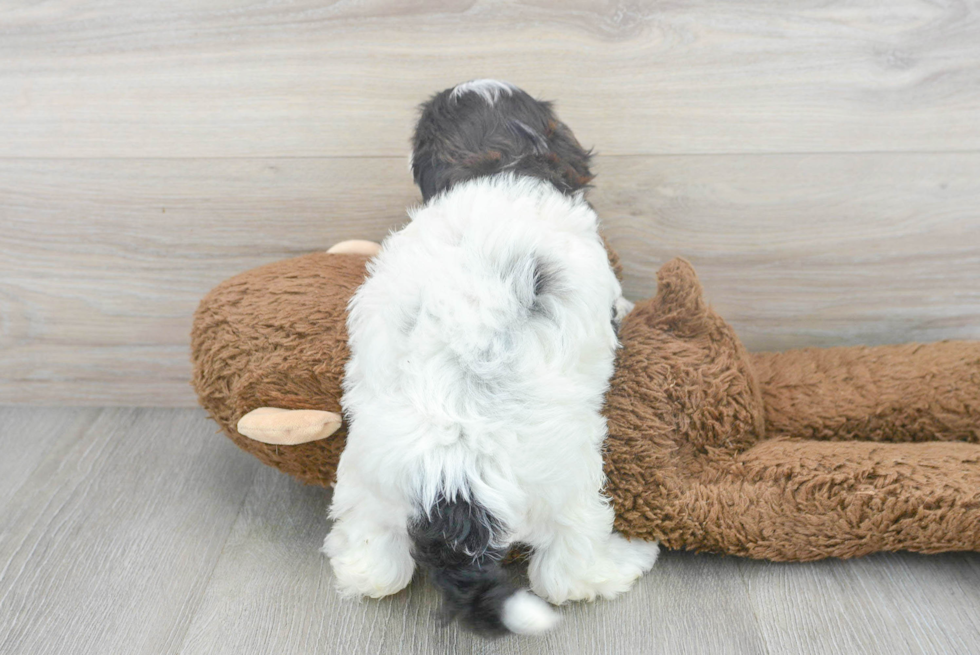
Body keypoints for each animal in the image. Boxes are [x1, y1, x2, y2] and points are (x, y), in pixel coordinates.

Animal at [324, 80, 660, 636]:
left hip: (365, 483)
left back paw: (360, 565)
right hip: (569, 486)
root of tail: (452, 489)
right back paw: (629, 559)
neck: (496, 165)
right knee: (568, 571)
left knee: (375, 562)